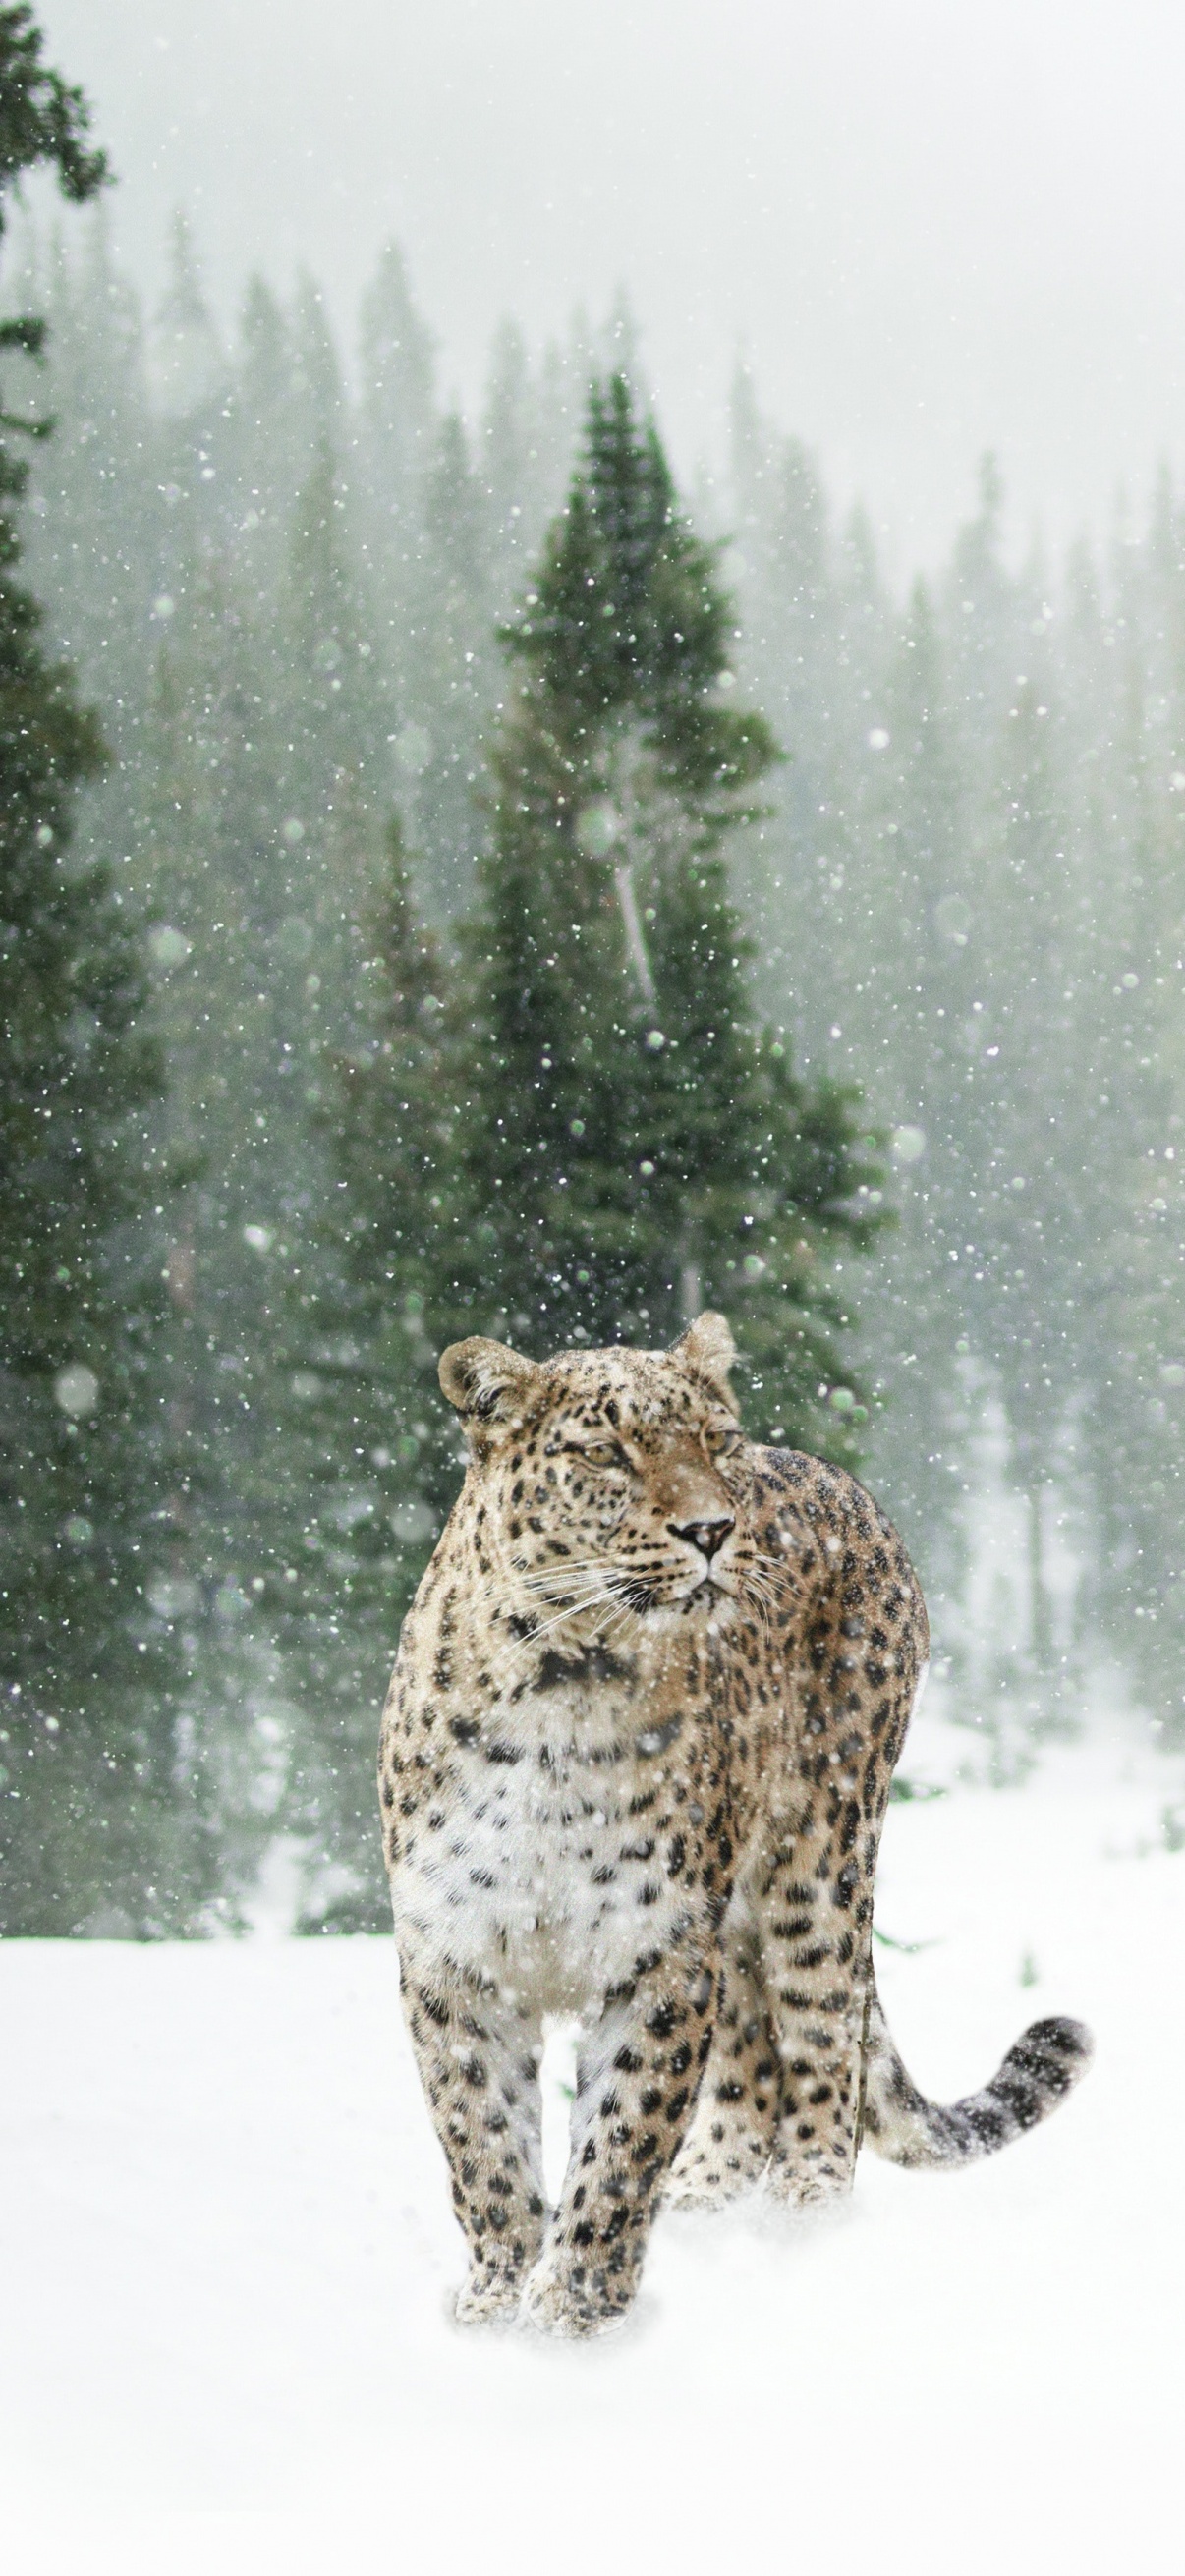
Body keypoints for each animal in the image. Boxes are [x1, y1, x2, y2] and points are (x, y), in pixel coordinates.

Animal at [378, 1311, 1092, 2336]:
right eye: (606, 1452)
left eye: (714, 1443)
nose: (712, 1529)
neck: (563, 1687)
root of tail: (843, 1480)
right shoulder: (456, 1955)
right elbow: (483, 2143)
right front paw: (495, 2304)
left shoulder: (660, 1951)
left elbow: (623, 2138)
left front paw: (573, 2314)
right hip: (745, 1913)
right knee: (754, 2053)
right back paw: (708, 2205)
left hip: (819, 1859)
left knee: (823, 2040)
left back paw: (802, 2222)